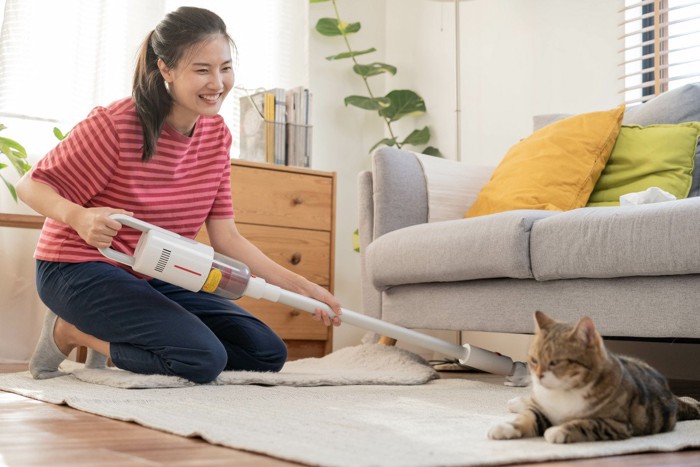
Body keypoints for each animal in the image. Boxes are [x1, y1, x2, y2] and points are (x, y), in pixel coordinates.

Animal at [486, 312, 700, 444]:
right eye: (534, 360)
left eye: (555, 362)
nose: (538, 376)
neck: (562, 394)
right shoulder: (542, 409)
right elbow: (529, 416)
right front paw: (505, 427)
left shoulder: (615, 423)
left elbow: (587, 424)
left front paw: (559, 431)